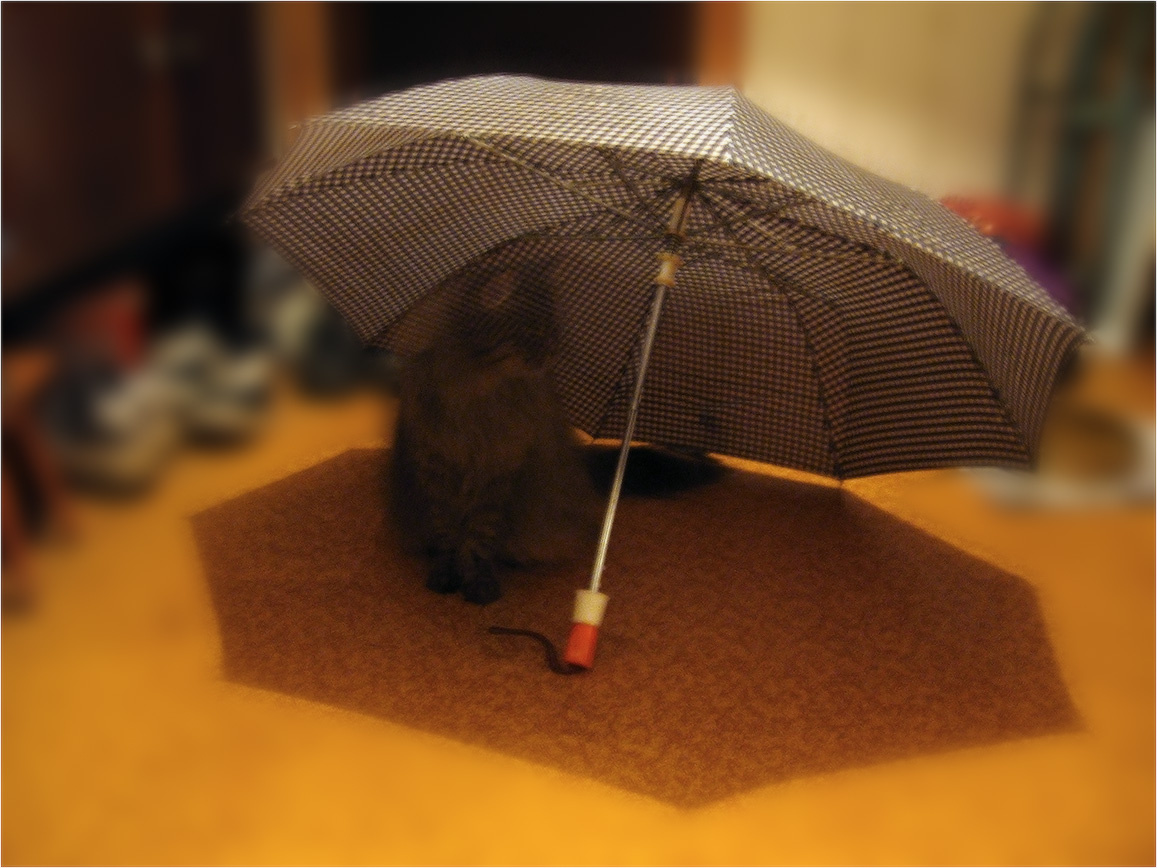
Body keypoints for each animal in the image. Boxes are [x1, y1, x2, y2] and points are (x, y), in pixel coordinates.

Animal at [389, 257, 723, 605]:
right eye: (535, 332)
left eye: (554, 331)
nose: (554, 352)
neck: (476, 389)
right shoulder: (433, 468)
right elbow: (444, 533)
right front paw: (445, 571)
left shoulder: (499, 473)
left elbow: (480, 539)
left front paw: (479, 579)